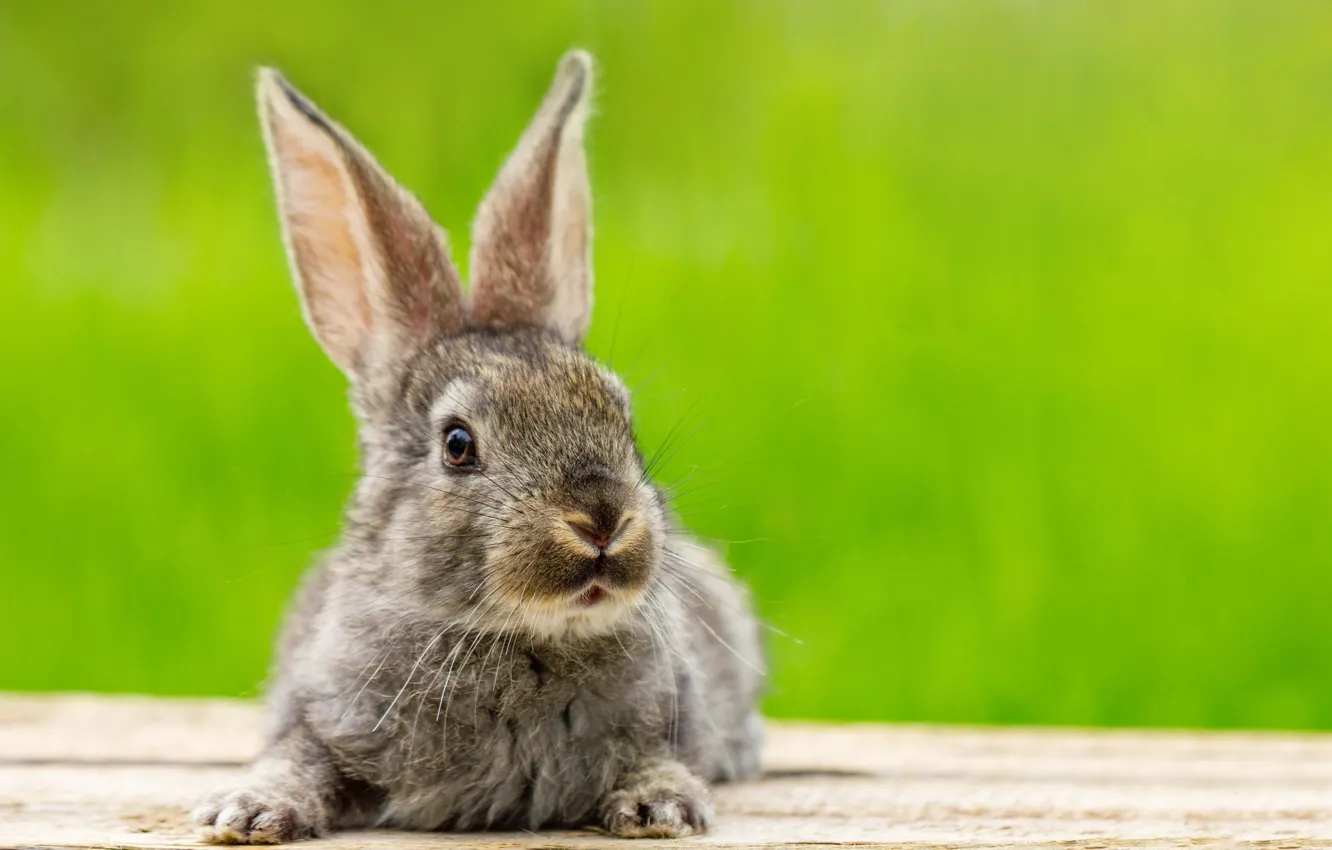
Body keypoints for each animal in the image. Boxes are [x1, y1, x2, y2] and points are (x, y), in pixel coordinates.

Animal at [190, 50, 765, 844]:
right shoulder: (321, 715)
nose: (601, 520)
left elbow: (658, 759)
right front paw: (247, 811)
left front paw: (662, 807)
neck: (518, 637)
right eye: (458, 444)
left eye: (622, 416)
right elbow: (297, 758)